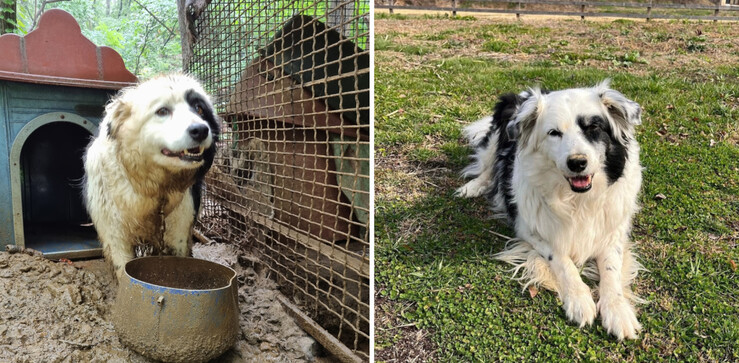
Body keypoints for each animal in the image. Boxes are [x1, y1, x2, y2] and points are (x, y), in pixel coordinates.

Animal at [85, 73, 220, 278]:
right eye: (162, 111)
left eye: (199, 109)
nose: (201, 130)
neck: (153, 186)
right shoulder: (114, 231)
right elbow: (122, 267)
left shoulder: (179, 226)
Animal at [460, 80, 644, 342]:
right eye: (554, 133)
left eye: (593, 127)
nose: (577, 163)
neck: (577, 199)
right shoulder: (529, 228)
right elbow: (561, 259)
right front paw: (579, 299)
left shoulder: (612, 231)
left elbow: (611, 269)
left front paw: (617, 310)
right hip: (500, 130)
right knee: (489, 164)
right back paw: (474, 186)